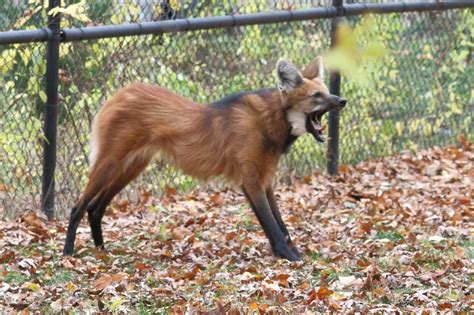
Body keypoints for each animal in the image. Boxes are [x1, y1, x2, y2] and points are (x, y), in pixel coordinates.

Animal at [64, 56, 344, 262]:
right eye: (316, 96)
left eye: (326, 91)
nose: (342, 100)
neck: (271, 120)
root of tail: (119, 93)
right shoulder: (250, 179)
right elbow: (271, 224)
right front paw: (289, 256)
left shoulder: (265, 180)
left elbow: (280, 222)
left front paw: (292, 251)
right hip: (111, 162)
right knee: (78, 206)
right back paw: (68, 252)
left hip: (132, 166)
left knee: (95, 208)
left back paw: (102, 250)